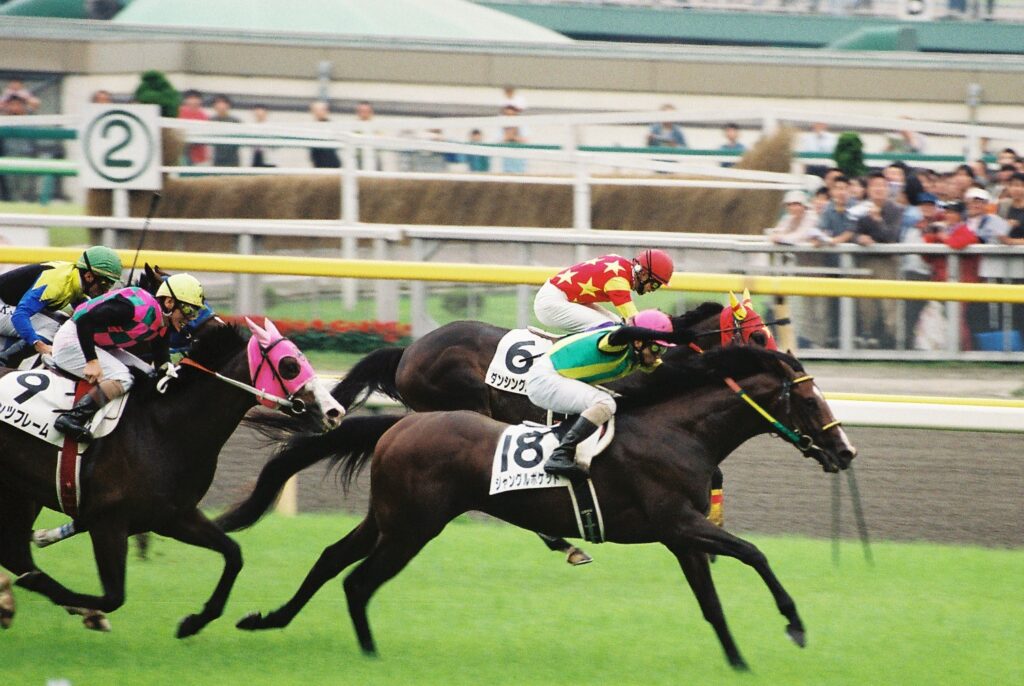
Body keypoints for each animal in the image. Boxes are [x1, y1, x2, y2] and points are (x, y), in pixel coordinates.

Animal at [0, 319, 344, 638]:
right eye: (290, 366)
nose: (335, 411)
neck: (164, 428)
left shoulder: (173, 516)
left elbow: (234, 554)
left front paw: (194, 622)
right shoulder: (107, 521)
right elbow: (113, 597)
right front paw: (65, 599)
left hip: (20, 493)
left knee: (15, 552)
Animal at [232, 346, 856, 667]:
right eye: (807, 399)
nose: (846, 451)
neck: (679, 432)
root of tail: (400, 423)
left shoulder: (681, 535)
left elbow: (712, 603)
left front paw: (739, 662)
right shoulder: (679, 522)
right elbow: (755, 554)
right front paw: (795, 624)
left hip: (388, 517)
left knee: (331, 561)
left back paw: (268, 618)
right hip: (413, 527)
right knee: (358, 581)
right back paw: (368, 656)